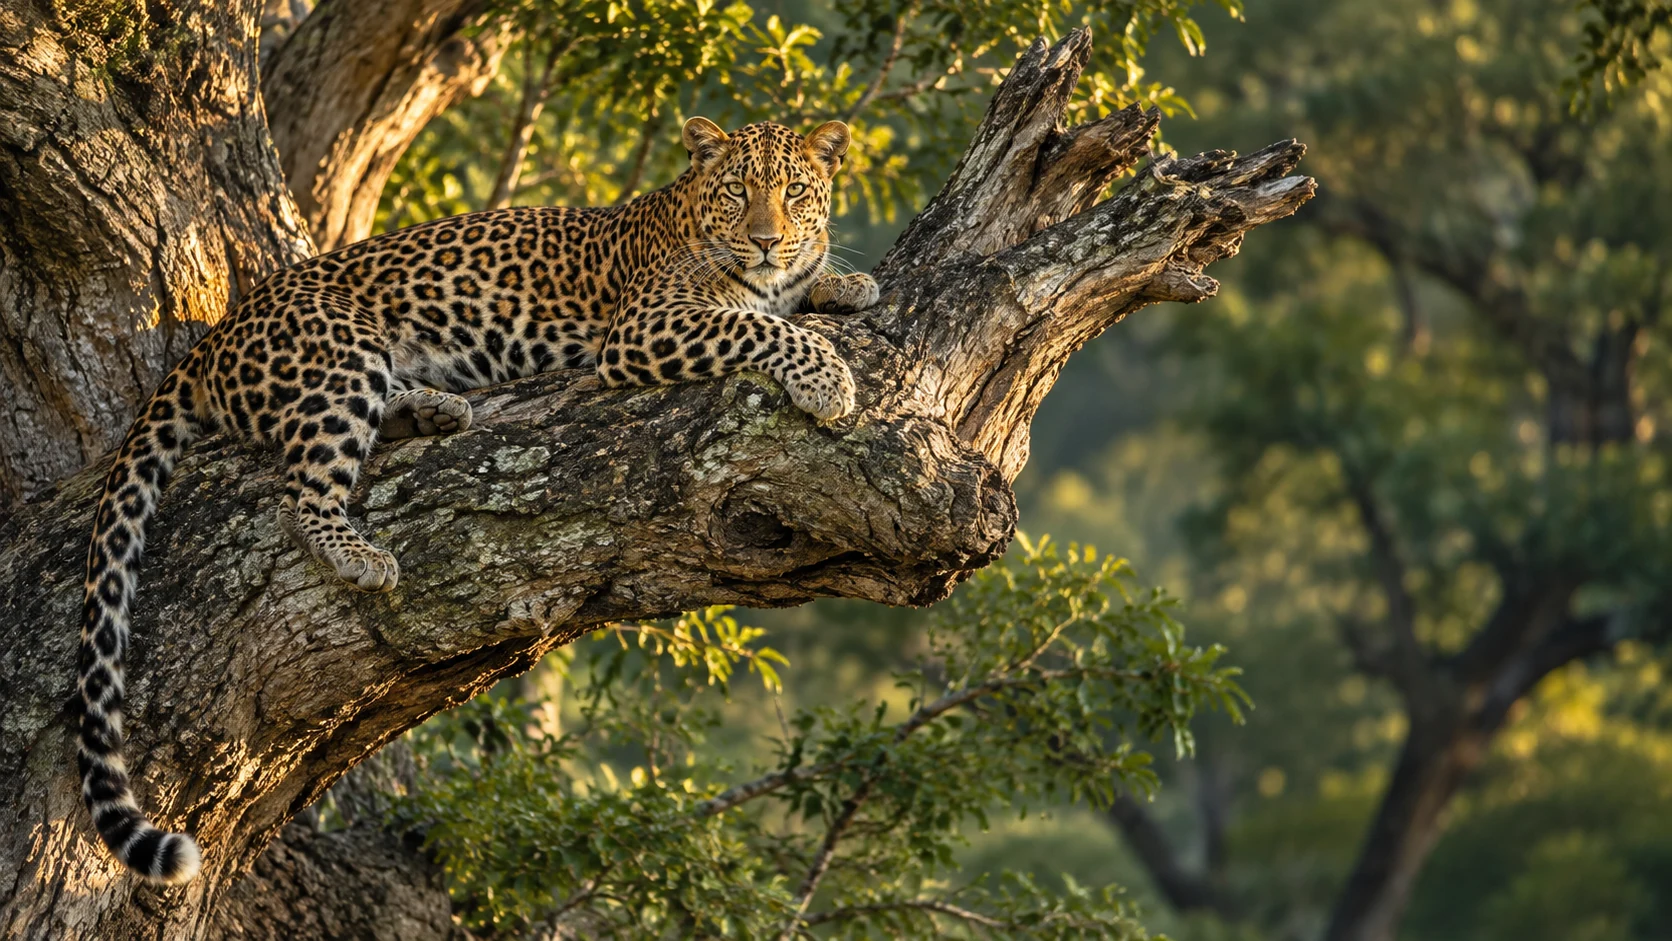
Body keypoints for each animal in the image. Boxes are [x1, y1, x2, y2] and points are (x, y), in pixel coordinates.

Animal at [75, 117, 879, 884]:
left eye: (795, 191)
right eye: (739, 191)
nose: (767, 241)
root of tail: (213, 337)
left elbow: (793, 298)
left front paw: (848, 284)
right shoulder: (647, 325)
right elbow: (760, 324)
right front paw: (828, 381)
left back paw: (434, 410)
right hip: (341, 355)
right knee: (301, 496)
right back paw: (361, 552)